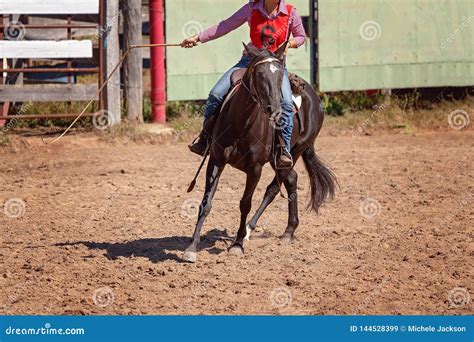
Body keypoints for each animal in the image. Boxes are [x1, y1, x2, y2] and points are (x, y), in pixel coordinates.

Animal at [182, 42, 336, 262]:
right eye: (259, 74)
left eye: (279, 76)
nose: (275, 110)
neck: (241, 122)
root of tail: (314, 97)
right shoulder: (216, 160)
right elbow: (206, 202)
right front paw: (192, 246)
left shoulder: (255, 169)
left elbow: (245, 203)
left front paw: (237, 244)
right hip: (277, 160)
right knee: (292, 180)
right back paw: (288, 230)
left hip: (296, 151)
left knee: (275, 187)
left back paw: (250, 231)